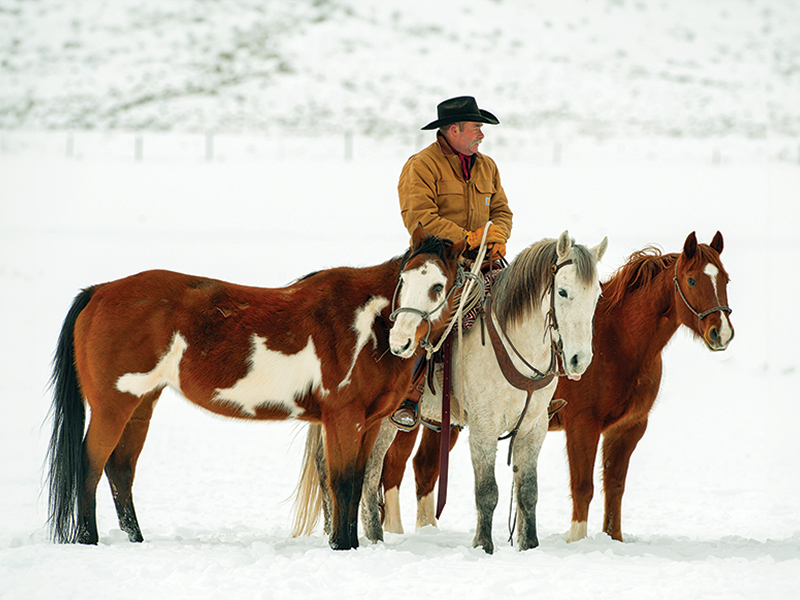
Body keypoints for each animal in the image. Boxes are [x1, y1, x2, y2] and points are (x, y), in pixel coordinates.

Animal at [46, 226, 466, 550]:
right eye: (404, 281)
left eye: (438, 285)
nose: (401, 341)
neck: (365, 322)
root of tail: (100, 291)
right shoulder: (343, 418)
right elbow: (343, 482)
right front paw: (342, 546)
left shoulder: (370, 421)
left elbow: (357, 479)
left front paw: (349, 543)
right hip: (113, 405)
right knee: (90, 464)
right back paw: (88, 539)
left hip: (141, 404)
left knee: (120, 469)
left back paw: (135, 539)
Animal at [292, 231, 608, 553]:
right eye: (563, 292)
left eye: (596, 295)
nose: (579, 359)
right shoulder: (484, 427)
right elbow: (487, 491)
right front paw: (483, 545)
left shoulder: (534, 427)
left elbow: (528, 491)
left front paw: (529, 545)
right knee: (348, 471)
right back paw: (354, 536)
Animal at [380, 231, 733, 545]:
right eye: (692, 280)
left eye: (726, 280)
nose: (722, 332)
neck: (619, 340)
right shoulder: (582, 425)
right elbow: (583, 486)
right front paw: (576, 541)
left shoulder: (628, 428)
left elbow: (615, 486)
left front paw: (613, 539)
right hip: (406, 421)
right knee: (394, 465)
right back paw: (394, 530)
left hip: (443, 423)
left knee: (424, 467)